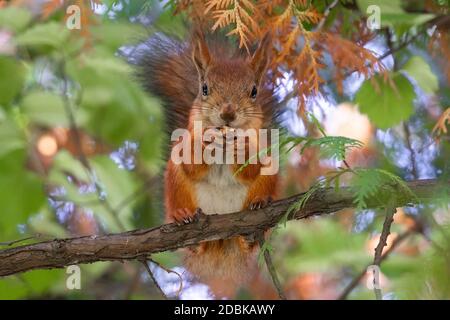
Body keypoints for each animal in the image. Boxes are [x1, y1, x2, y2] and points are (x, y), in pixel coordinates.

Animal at [135, 30, 280, 290]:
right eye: (204, 88)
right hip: (177, 183)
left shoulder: (262, 146)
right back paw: (184, 219)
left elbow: (251, 168)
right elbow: (192, 164)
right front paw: (204, 141)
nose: (228, 113)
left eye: (254, 91)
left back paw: (255, 216)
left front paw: (243, 149)